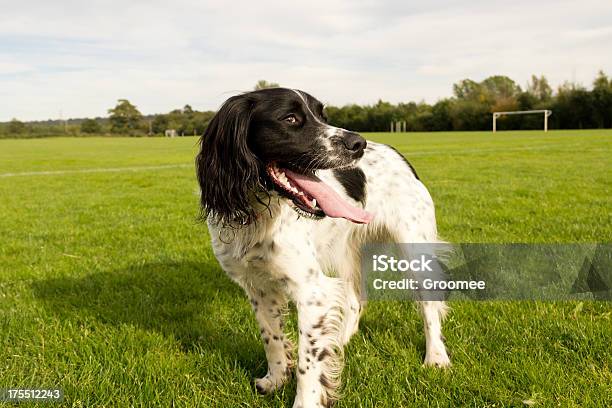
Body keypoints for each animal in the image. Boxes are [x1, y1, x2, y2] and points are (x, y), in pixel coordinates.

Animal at [196, 87, 450, 406]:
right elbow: (272, 338)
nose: (358, 143)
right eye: (290, 119)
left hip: (413, 247)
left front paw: (305, 400)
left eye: (323, 116)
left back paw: (436, 357)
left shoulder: (310, 290)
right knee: (354, 301)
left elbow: (307, 363)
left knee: (429, 303)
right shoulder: (259, 288)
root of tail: (397, 153)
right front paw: (275, 379)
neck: (258, 213)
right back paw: (338, 342)